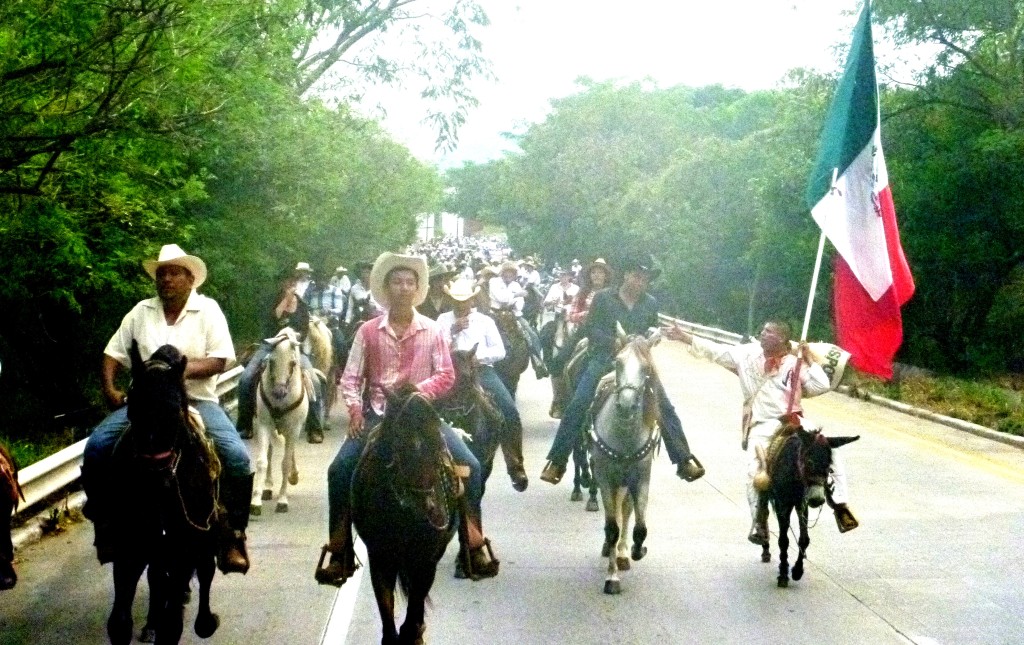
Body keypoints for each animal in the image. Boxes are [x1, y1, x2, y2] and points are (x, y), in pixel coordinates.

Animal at [104, 341, 222, 642]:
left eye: (175, 409)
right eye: (132, 407)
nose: (157, 477)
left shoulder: (183, 550)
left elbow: (173, 624)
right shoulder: (130, 550)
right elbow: (120, 621)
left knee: (204, 572)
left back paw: (204, 621)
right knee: (159, 579)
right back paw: (151, 623)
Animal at [250, 327, 307, 516]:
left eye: (292, 363)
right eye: (271, 362)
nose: (279, 392)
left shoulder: (294, 429)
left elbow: (286, 463)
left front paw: (282, 501)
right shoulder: (263, 425)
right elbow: (262, 461)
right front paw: (255, 502)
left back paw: (293, 477)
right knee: (269, 452)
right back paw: (267, 488)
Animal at [356, 387, 460, 642]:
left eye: (438, 445)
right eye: (401, 444)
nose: (429, 508)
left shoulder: (426, 559)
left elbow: (414, 607)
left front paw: (415, 633)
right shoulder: (380, 557)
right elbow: (387, 615)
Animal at [589, 327, 659, 597]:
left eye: (646, 367)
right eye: (617, 362)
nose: (626, 406)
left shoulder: (641, 478)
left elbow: (639, 525)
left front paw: (636, 550)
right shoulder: (605, 478)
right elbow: (611, 527)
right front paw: (612, 578)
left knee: (627, 510)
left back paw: (622, 552)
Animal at [761, 423, 856, 589]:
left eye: (829, 466)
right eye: (809, 461)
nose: (817, 500)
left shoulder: (802, 504)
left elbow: (804, 539)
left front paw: (797, 571)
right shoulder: (783, 504)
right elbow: (783, 540)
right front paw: (783, 574)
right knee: (763, 515)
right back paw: (765, 550)